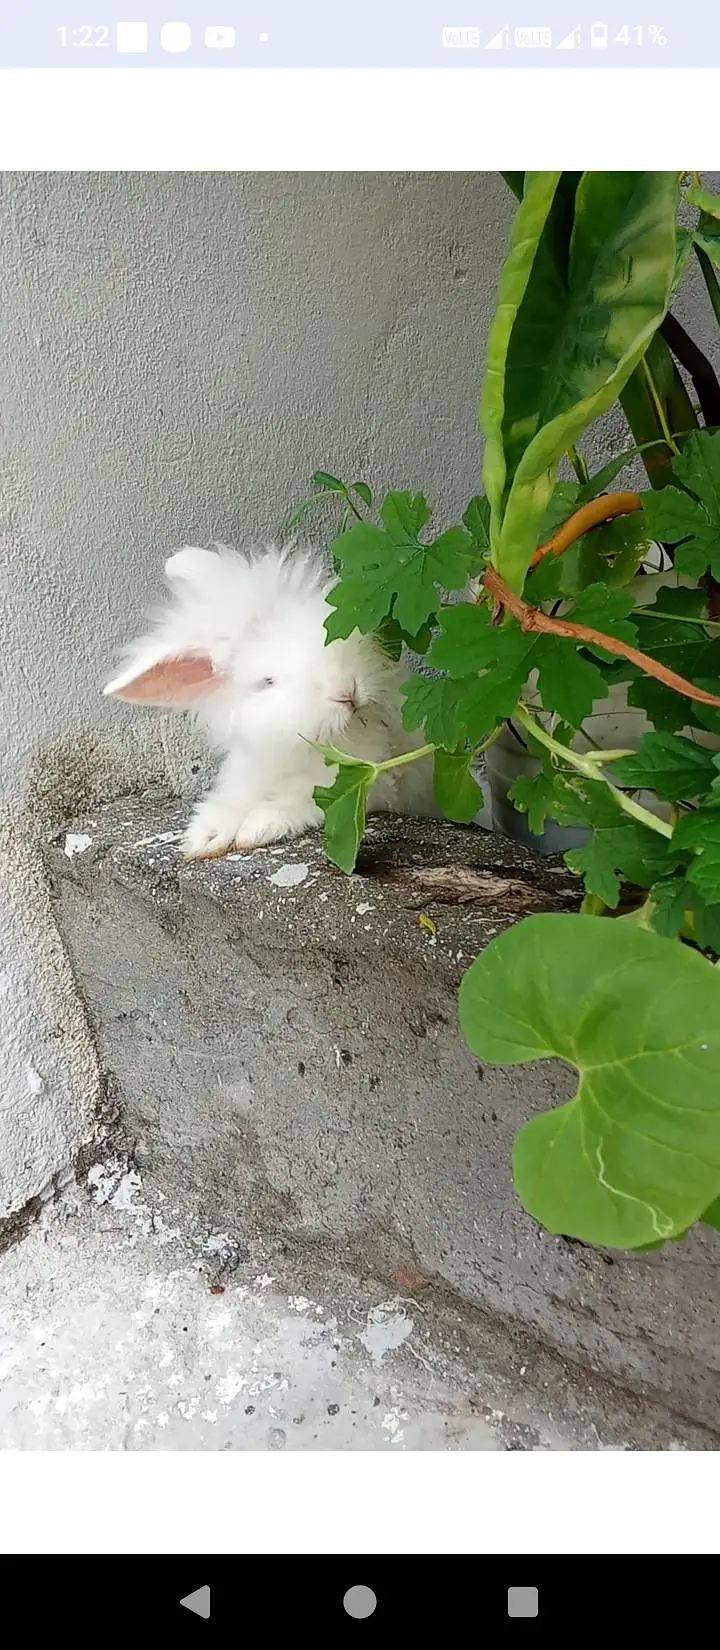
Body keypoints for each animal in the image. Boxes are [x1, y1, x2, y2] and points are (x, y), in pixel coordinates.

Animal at [103, 544, 435, 859]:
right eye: (267, 682)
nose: (345, 691)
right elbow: (237, 799)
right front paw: (206, 836)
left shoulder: (372, 778)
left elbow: (309, 797)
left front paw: (257, 827)